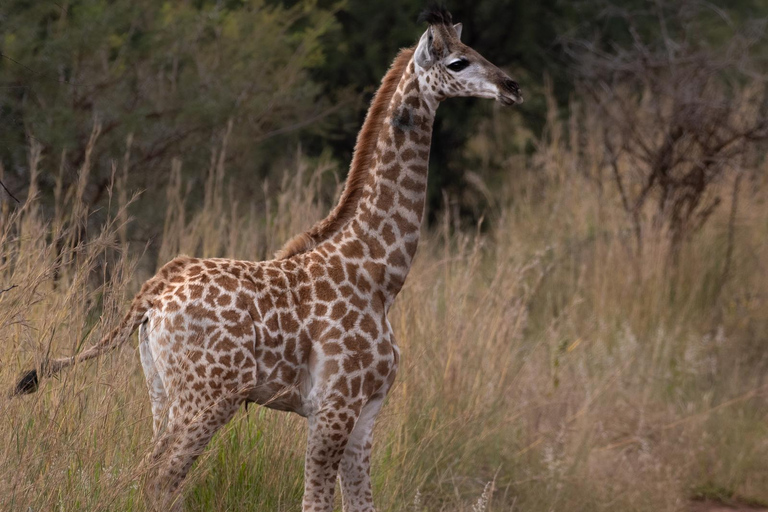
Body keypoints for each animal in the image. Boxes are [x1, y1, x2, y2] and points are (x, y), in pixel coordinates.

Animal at [15, 8, 520, 512]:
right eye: (457, 62)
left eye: (475, 51)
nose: (512, 86)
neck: (381, 273)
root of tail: (156, 293)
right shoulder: (334, 407)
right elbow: (315, 501)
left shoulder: (367, 410)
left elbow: (360, 503)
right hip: (209, 397)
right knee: (157, 479)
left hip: (163, 392)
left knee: (142, 475)